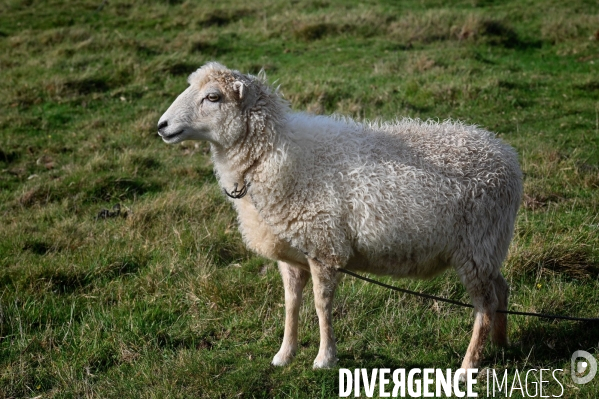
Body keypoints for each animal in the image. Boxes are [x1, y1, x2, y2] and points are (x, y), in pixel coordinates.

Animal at [157, 61, 524, 374]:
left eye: (213, 97)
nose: (161, 126)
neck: (272, 157)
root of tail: (507, 157)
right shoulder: (293, 255)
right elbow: (291, 304)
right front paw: (284, 354)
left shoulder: (324, 247)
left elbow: (321, 306)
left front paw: (324, 358)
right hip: (488, 249)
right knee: (500, 290)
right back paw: (501, 345)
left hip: (477, 246)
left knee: (484, 305)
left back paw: (469, 365)